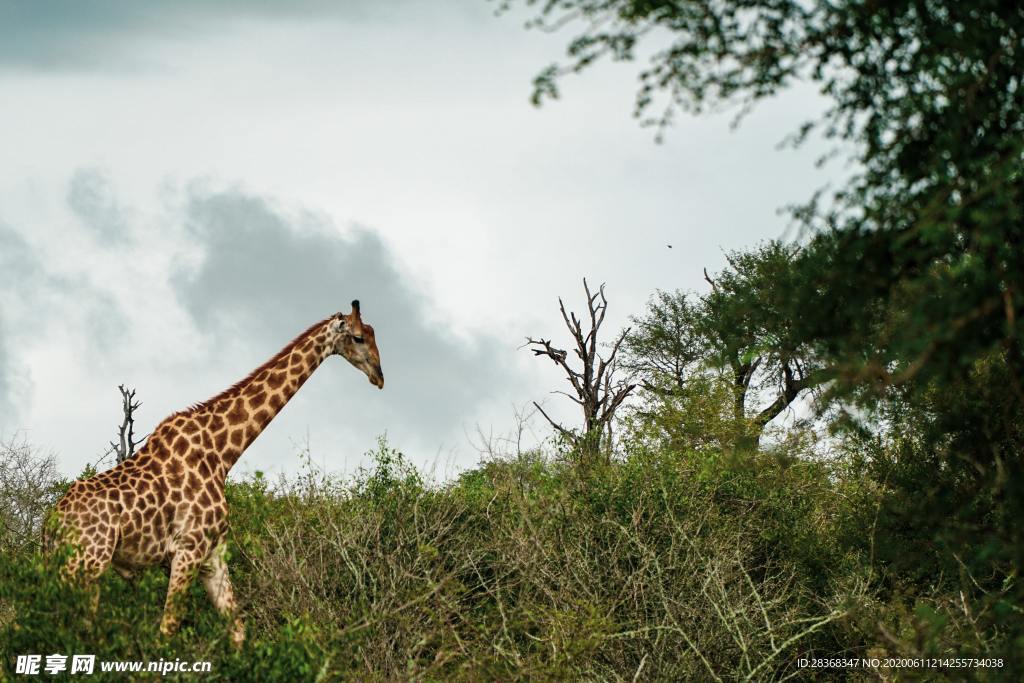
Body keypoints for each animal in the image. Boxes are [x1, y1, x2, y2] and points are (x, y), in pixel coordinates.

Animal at [46, 301, 382, 647]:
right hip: (86, 565)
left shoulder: (213, 555)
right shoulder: (187, 549)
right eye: (358, 337)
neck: (222, 453)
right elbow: (167, 628)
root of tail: (51, 524)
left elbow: (238, 632)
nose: (379, 376)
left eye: (373, 335)